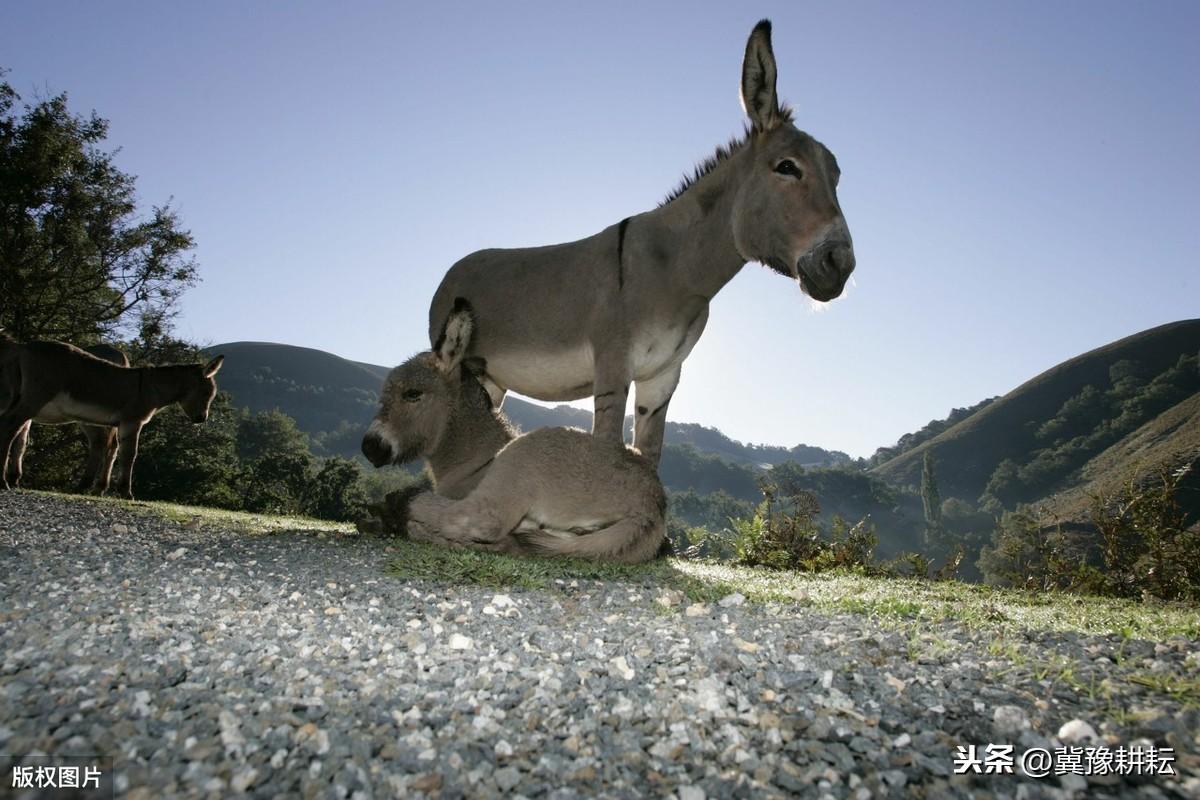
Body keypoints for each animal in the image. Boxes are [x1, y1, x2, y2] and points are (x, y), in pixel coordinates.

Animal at [0, 335, 223, 501]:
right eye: (207, 393)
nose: (201, 419)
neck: (149, 387)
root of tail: (24, 347)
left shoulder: (121, 424)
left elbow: (117, 452)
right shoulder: (132, 422)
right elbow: (129, 455)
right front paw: (126, 492)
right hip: (35, 398)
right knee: (9, 427)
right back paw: (4, 482)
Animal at [360, 297, 672, 566]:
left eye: (413, 394)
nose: (369, 447)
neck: (476, 461)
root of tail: (651, 507)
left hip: (524, 459)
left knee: (479, 522)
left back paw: (399, 514)